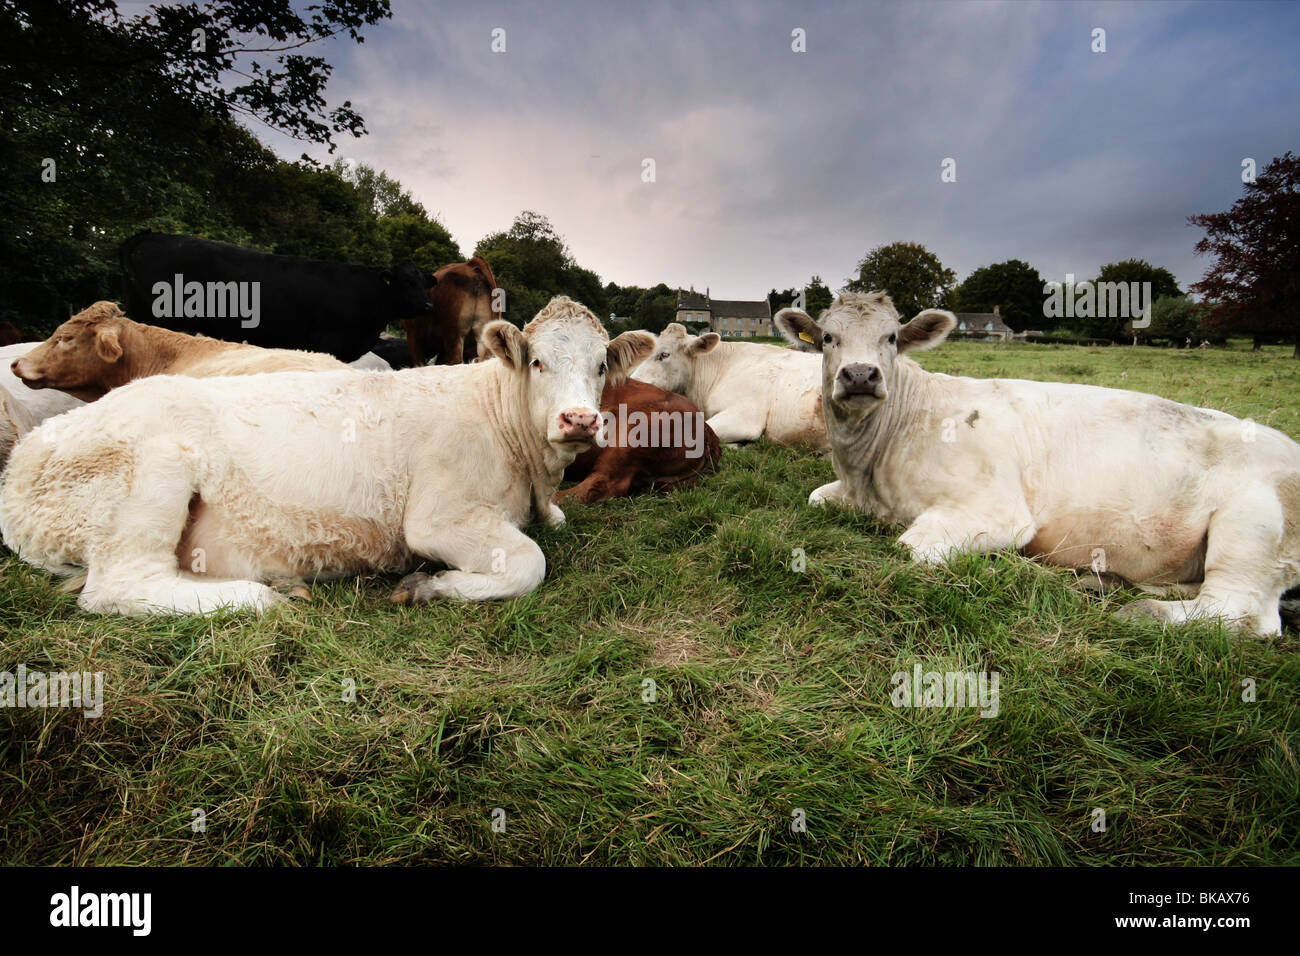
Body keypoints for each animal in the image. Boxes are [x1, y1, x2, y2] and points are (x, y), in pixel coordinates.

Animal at [775, 291, 1300, 637]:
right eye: (828, 337)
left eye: (891, 337)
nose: (860, 375)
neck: (868, 471)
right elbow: (815, 497)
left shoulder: (995, 511)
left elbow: (911, 551)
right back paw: (1106, 582)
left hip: (1250, 529)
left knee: (1244, 610)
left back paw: (1141, 610)